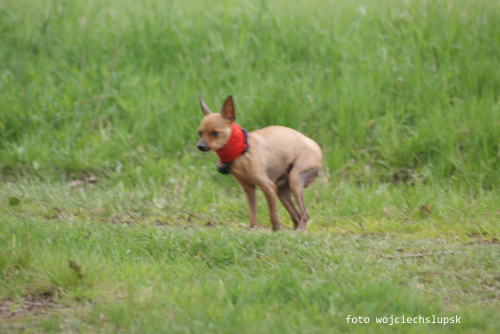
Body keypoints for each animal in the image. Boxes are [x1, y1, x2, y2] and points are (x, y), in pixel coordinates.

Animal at [197, 95, 322, 231]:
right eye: (199, 133)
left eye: (215, 133)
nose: (200, 146)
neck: (240, 151)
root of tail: (317, 147)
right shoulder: (249, 190)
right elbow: (252, 214)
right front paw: (253, 229)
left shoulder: (268, 188)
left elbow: (273, 216)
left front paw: (275, 231)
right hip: (282, 191)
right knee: (297, 216)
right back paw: (294, 230)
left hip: (294, 180)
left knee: (304, 216)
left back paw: (298, 231)